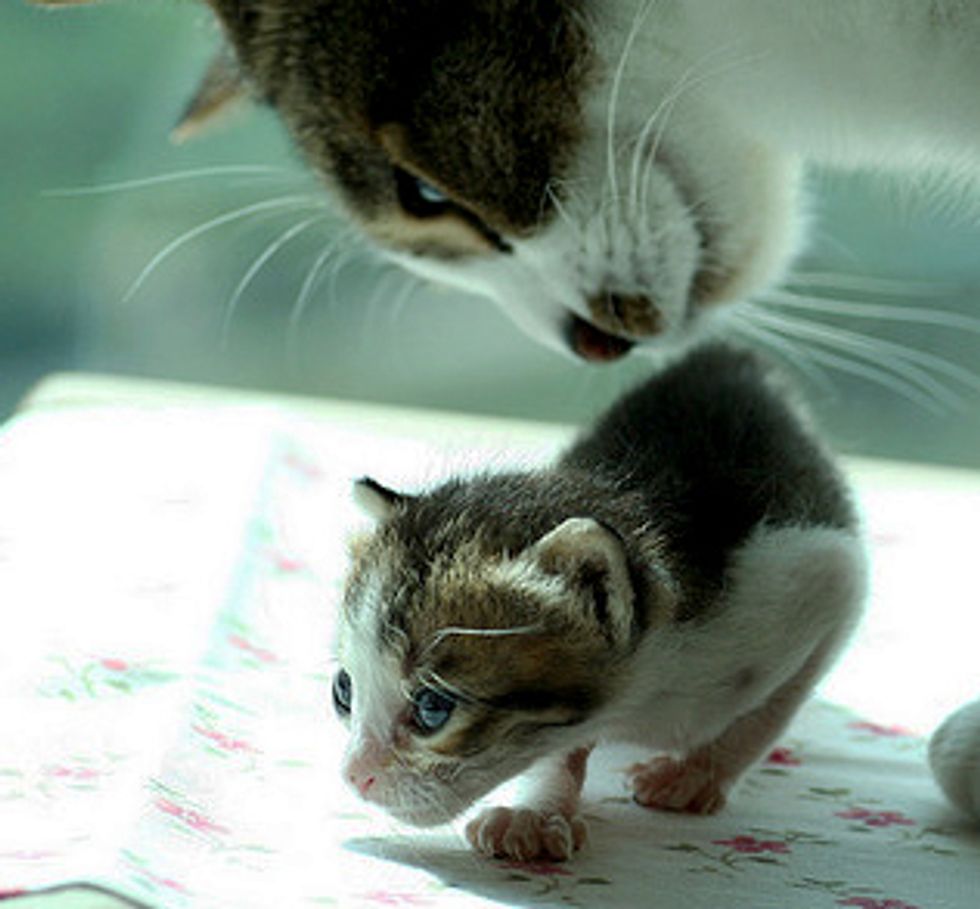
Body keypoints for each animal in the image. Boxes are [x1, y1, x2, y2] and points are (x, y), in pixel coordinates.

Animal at [334, 340, 864, 860]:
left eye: (433, 708)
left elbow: (767, 709)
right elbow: (560, 750)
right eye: (343, 689)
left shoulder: (818, 580)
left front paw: (697, 772)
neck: (646, 697)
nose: (354, 776)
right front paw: (537, 812)